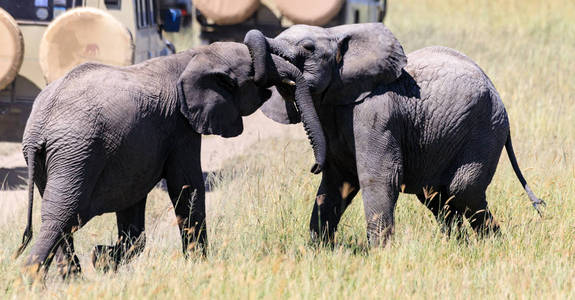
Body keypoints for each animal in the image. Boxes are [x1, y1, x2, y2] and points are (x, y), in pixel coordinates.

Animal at [13, 40, 326, 278]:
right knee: (60, 217)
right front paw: (200, 268)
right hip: (76, 153)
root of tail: (38, 126)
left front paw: (102, 258)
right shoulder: (180, 126)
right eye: (253, 71)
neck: (196, 55)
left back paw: (72, 281)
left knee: (62, 222)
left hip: (58, 159)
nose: (314, 167)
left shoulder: (136, 151)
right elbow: (187, 187)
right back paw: (31, 281)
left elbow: (134, 211)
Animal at [245, 23, 548, 247]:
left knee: (464, 191)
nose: (313, 166)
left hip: (485, 129)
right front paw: (318, 251)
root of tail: (499, 96)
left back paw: (493, 246)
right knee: (438, 197)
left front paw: (380, 255)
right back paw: (458, 247)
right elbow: (337, 183)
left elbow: (378, 177)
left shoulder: (377, 113)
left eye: (307, 48)